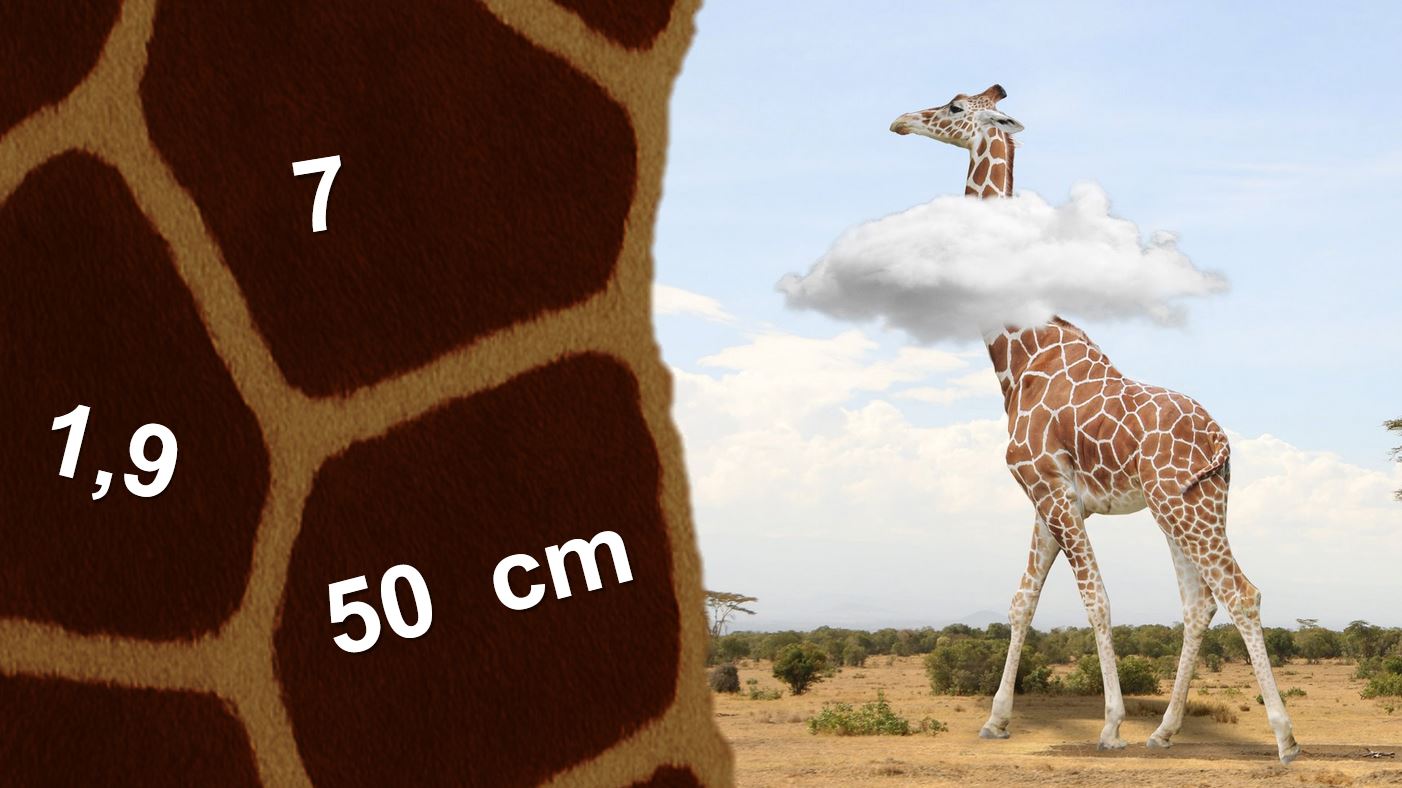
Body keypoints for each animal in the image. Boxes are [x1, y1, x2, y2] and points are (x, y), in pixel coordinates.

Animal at [890, 85, 1301, 764]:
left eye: (952, 106)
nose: (900, 121)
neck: (1018, 356)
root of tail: (1222, 444)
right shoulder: (1049, 498)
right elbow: (1021, 602)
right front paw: (996, 720)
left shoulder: (1052, 492)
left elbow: (1096, 601)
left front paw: (1109, 726)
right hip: (1189, 504)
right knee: (1199, 603)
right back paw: (1164, 731)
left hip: (1181, 506)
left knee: (1239, 592)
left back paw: (1284, 737)